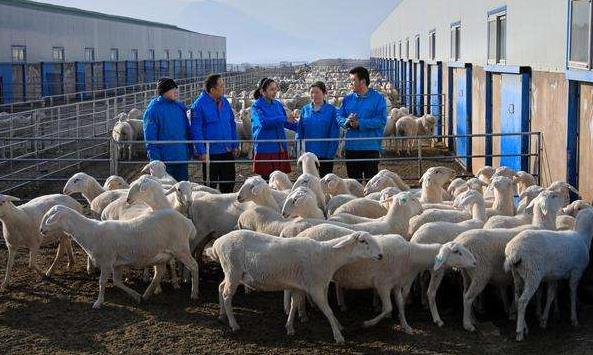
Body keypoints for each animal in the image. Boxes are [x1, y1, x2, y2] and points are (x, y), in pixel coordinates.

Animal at [40, 206, 201, 308]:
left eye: (49, 217)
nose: (41, 230)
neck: (90, 232)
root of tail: (188, 223)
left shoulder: (106, 261)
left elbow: (102, 282)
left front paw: (98, 302)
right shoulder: (117, 264)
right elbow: (117, 282)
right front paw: (135, 296)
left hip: (180, 248)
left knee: (194, 266)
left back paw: (194, 293)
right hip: (161, 255)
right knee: (159, 273)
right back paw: (146, 295)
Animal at [206, 229, 382, 344]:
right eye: (363, 241)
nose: (380, 255)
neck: (328, 256)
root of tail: (217, 243)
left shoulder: (299, 286)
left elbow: (294, 304)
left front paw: (290, 327)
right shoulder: (315, 288)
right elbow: (328, 310)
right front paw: (338, 336)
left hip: (231, 272)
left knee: (221, 287)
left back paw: (222, 316)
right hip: (233, 270)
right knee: (227, 295)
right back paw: (234, 324)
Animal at [434, 191, 564, 332]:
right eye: (553, 196)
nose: (563, 200)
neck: (542, 226)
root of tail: (460, 241)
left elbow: (518, 295)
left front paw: (513, 313)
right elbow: (534, 295)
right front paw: (533, 316)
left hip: (467, 273)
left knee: (464, 295)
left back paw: (473, 318)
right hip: (481, 273)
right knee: (468, 298)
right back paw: (468, 324)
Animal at [502, 209, 592, 342]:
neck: (583, 237)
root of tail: (513, 251)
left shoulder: (554, 276)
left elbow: (551, 295)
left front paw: (544, 319)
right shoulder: (576, 272)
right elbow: (572, 294)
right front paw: (574, 319)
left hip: (517, 274)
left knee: (517, 298)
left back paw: (524, 327)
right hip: (532, 274)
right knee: (523, 301)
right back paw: (519, 332)